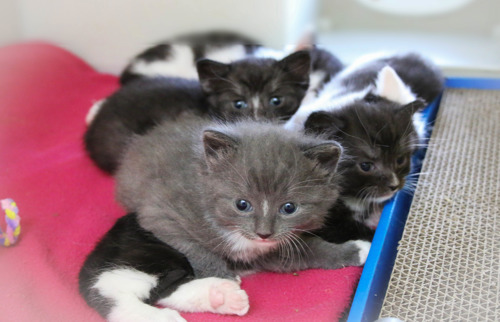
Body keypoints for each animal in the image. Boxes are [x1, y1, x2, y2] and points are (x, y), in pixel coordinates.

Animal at [80, 116, 370, 322]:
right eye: (242, 204)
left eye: (289, 207)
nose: (263, 232)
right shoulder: (161, 215)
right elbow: (195, 248)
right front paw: (224, 277)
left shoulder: (272, 248)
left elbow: (305, 252)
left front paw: (356, 250)